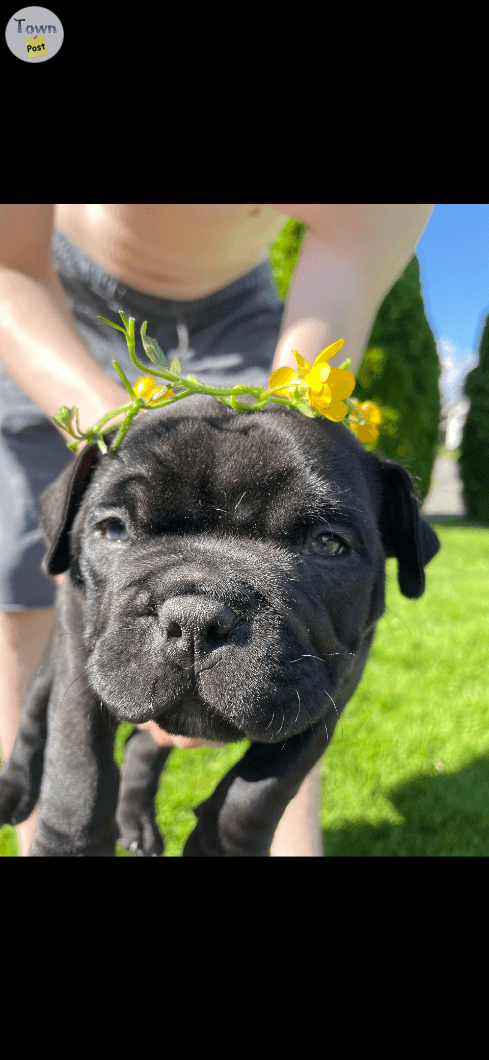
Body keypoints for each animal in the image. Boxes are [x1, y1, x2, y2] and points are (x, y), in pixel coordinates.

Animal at [0, 394, 439, 856]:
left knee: (142, 745)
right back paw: (13, 791)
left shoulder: (331, 693)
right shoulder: (80, 662)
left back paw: (137, 822)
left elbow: (260, 790)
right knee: (34, 719)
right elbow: (78, 763)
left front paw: (219, 847)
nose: (195, 618)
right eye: (115, 529)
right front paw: (68, 844)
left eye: (328, 543)